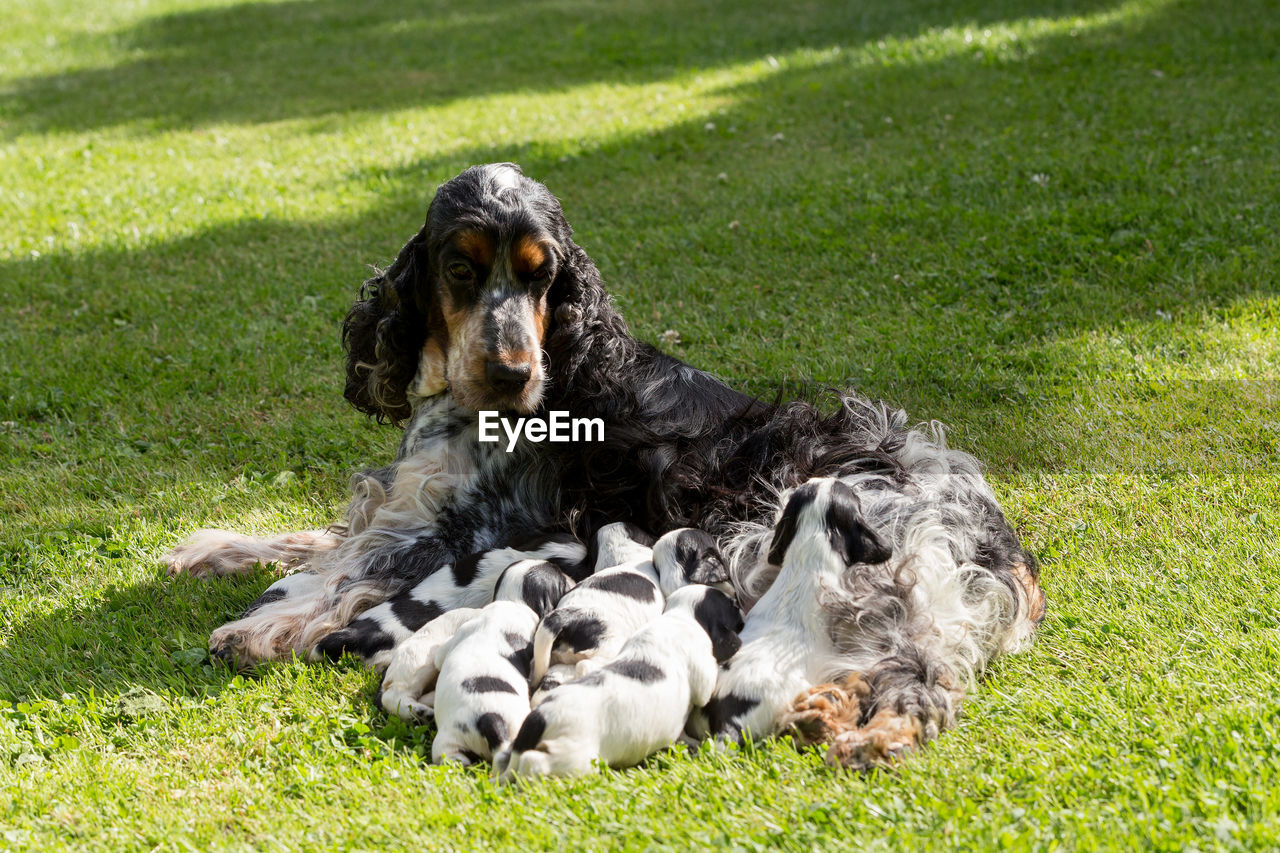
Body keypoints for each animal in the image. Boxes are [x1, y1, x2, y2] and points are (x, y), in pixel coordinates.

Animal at [494, 584, 747, 778]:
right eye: (733, 608)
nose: (740, 604)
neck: (681, 616)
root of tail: (538, 719)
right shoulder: (703, 677)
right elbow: (705, 687)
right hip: (574, 756)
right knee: (533, 761)